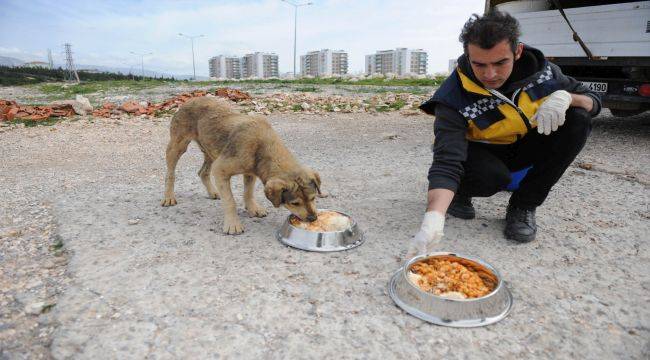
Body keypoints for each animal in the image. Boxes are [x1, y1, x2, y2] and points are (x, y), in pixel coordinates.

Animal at [161, 97, 320, 235]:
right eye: (295, 203)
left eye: (313, 198)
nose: (313, 218)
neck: (263, 146)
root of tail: (191, 99)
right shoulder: (220, 170)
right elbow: (230, 201)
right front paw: (233, 224)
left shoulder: (250, 172)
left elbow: (248, 193)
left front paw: (253, 209)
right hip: (178, 146)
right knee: (170, 174)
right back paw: (169, 197)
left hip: (212, 151)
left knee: (202, 172)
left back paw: (212, 192)